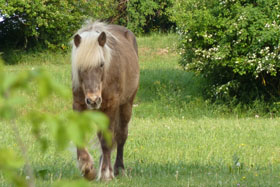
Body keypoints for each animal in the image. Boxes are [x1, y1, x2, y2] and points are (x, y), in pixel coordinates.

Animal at [71, 21, 139, 180]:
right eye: (80, 67)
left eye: (101, 64)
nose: (93, 100)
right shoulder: (78, 105)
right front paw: (87, 168)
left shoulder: (111, 106)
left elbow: (107, 140)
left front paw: (106, 174)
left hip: (126, 106)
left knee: (121, 135)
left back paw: (118, 168)